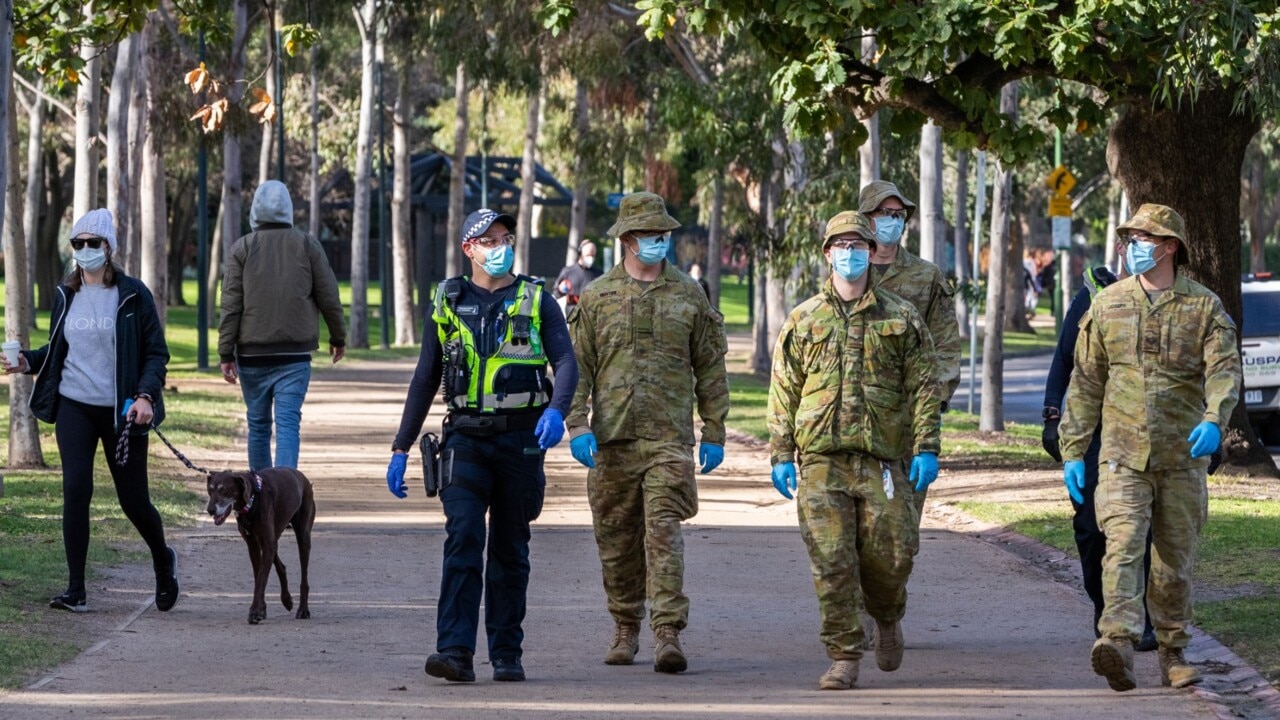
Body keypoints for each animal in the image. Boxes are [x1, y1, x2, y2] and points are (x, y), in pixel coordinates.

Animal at [206, 466, 316, 622]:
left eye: (224, 490)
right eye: (210, 490)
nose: (210, 510)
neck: (252, 499)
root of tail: (303, 477)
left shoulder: (266, 545)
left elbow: (261, 580)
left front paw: (255, 611)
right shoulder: (253, 545)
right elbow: (259, 576)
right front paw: (261, 609)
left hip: (303, 535)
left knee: (304, 577)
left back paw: (303, 610)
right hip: (273, 538)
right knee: (281, 565)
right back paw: (286, 600)